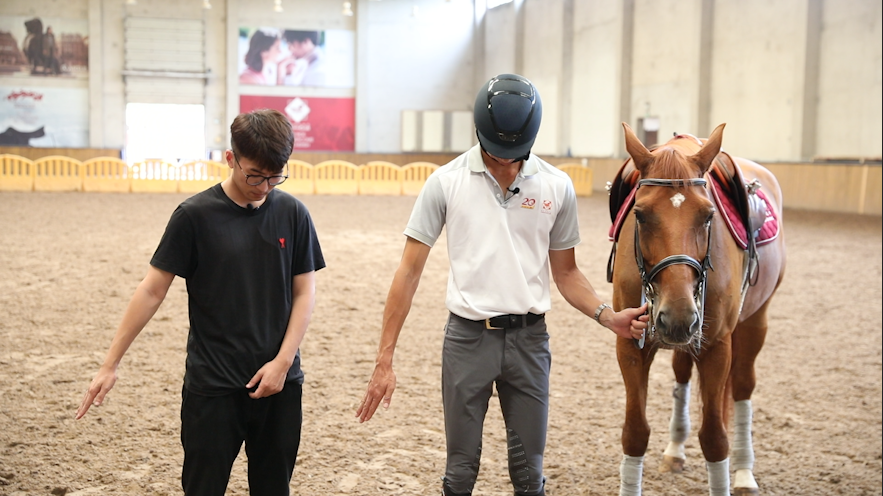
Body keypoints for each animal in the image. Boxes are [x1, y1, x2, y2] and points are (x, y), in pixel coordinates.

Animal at [608, 122, 788, 494]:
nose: (677, 318)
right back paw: (675, 449)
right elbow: (635, 433)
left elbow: (715, 439)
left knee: (743, 388)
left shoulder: (717, 346)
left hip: (754, 323)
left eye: (708, 216)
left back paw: (744, 473)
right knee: (681, 373)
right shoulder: (630, 344)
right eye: (640, 215)